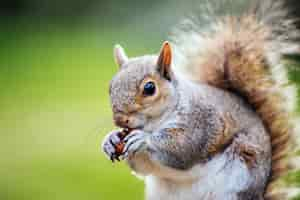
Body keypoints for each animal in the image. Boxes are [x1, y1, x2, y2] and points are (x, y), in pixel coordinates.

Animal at [101, 0, 300, 199]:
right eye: (110, 86)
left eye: (150, 88)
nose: (120, 120)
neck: (157, 121)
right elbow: (141, 167)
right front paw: (111, 139)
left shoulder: (201, 122)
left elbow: (183, 148)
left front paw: (144, 139)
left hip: (239, 176)